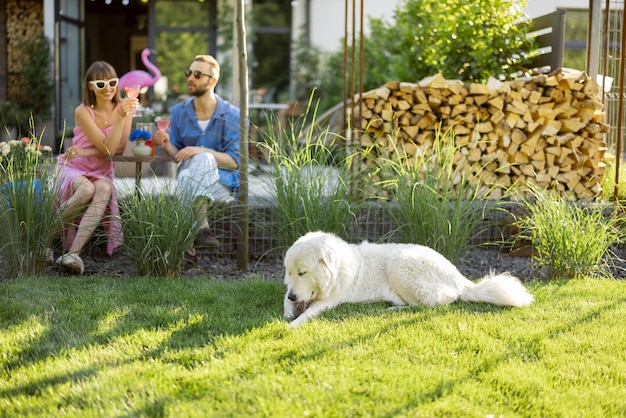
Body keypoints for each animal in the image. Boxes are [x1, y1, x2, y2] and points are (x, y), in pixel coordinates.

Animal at [282, 232, 532, 326]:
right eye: (290, 272)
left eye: (303, 272)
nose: (294, 296)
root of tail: (460, 278)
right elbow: (287, 301)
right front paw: (288, 311)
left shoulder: (331, 300)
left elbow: (310, 312)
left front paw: (294, 324)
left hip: (399, 265)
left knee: (433, 303)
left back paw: (394, 309)